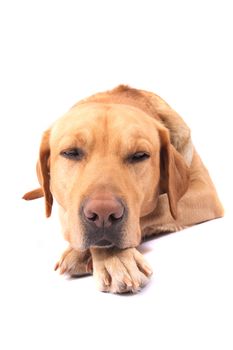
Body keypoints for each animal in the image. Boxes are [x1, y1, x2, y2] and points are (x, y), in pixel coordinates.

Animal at [23, 85, 224, 292]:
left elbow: (156, 208)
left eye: (140, 155)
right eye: (70, 152)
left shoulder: (204, 191)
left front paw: (114, 258)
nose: (103, 213)